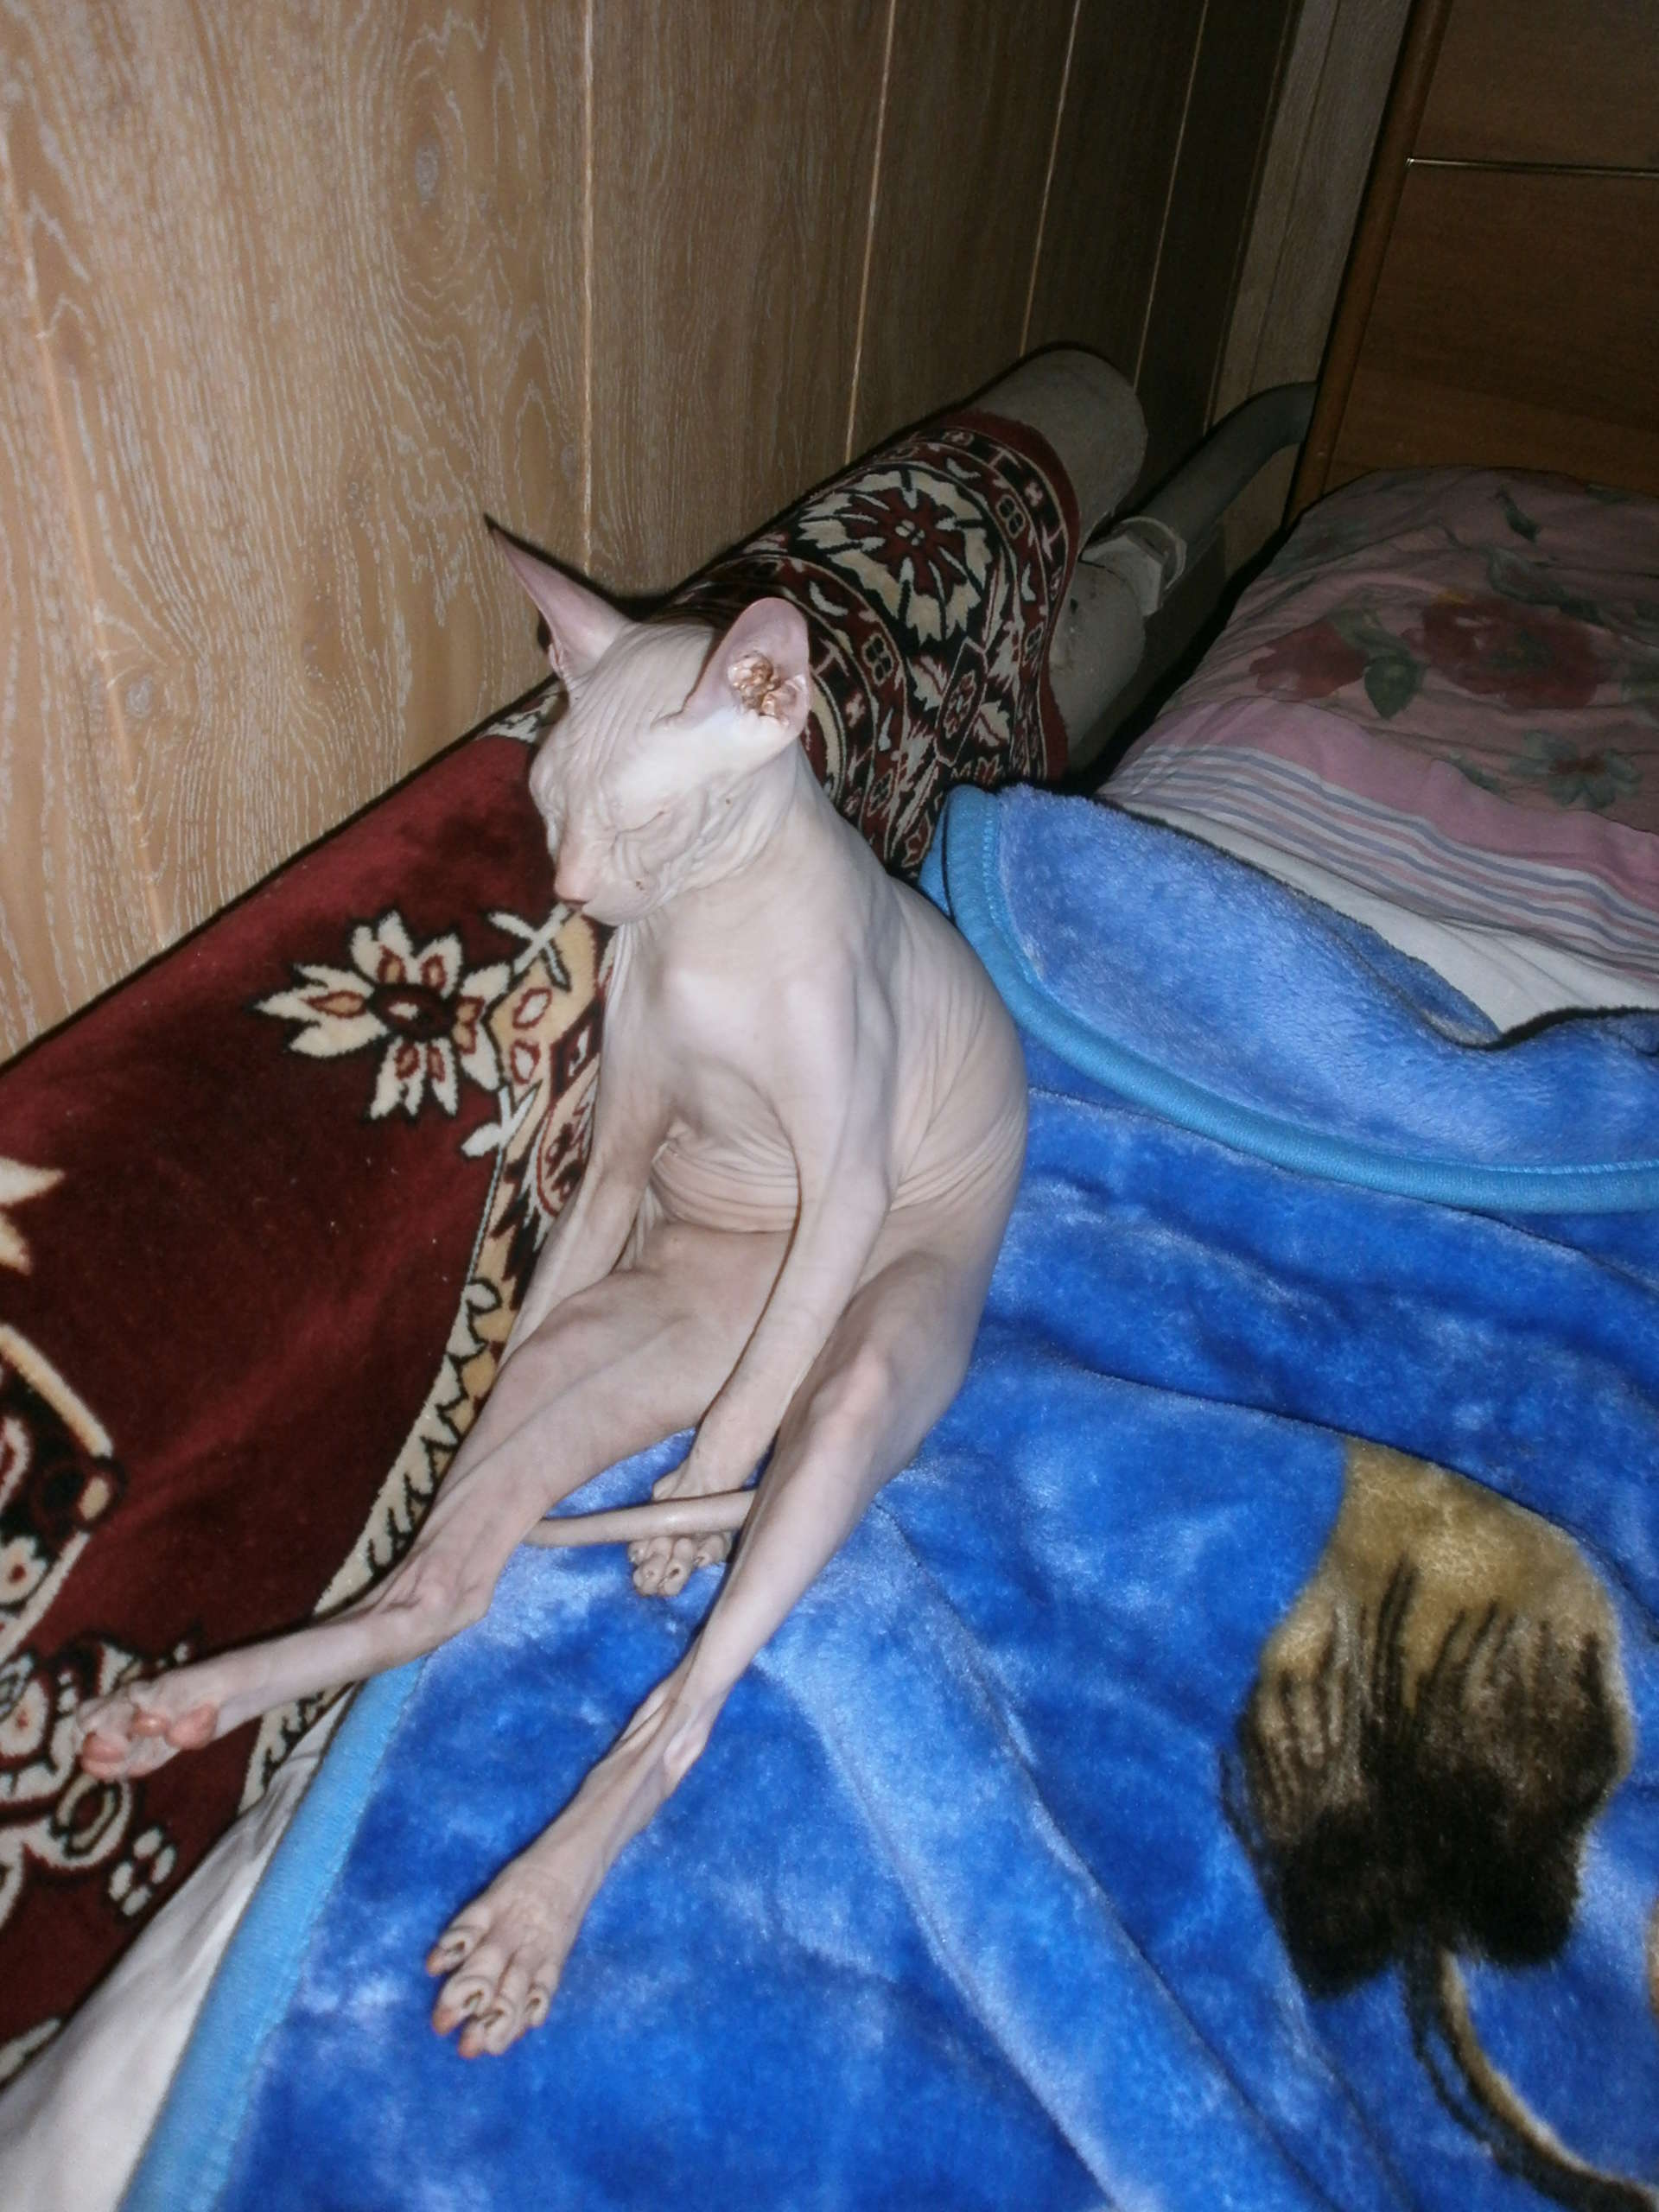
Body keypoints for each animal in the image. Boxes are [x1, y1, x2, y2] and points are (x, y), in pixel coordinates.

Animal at [76, 531, 1028, 2059]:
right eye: (545, 809)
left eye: (648, 823)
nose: (576, 898)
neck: (714, 938)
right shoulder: (622, 1146)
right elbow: (559, 1267)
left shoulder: (850, 1184)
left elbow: (766, 1370)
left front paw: (687, 1511)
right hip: (615, 1336)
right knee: (455, 1566)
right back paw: (188, 1710)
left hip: (865, 1354)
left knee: (702, 1647)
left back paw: (534, 1901)